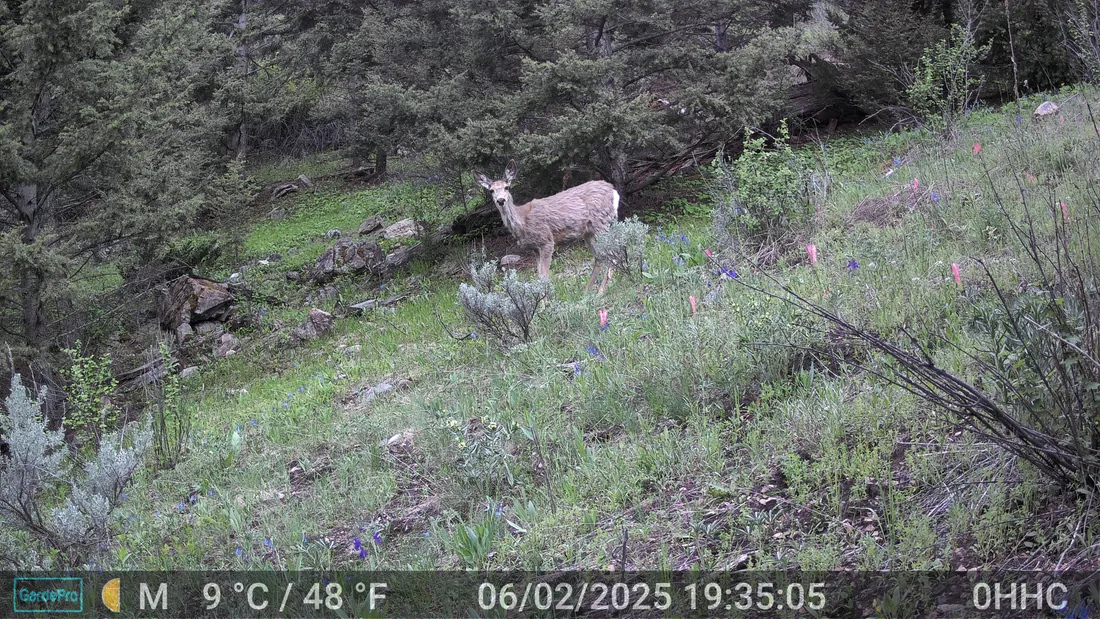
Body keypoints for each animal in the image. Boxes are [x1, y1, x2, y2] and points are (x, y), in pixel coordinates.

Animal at [475, 160, 620, 294]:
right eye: (491, 190)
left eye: (507, 187)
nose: (500, 200)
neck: (522, 222)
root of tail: (613, 191)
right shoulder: (534, 248)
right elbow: (539, 277)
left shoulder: (547, 241)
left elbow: (545, 277)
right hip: (589, 232)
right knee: (600, 257)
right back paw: (587, 292)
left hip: (602, 223)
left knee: (613, 255)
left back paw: (601, 291)